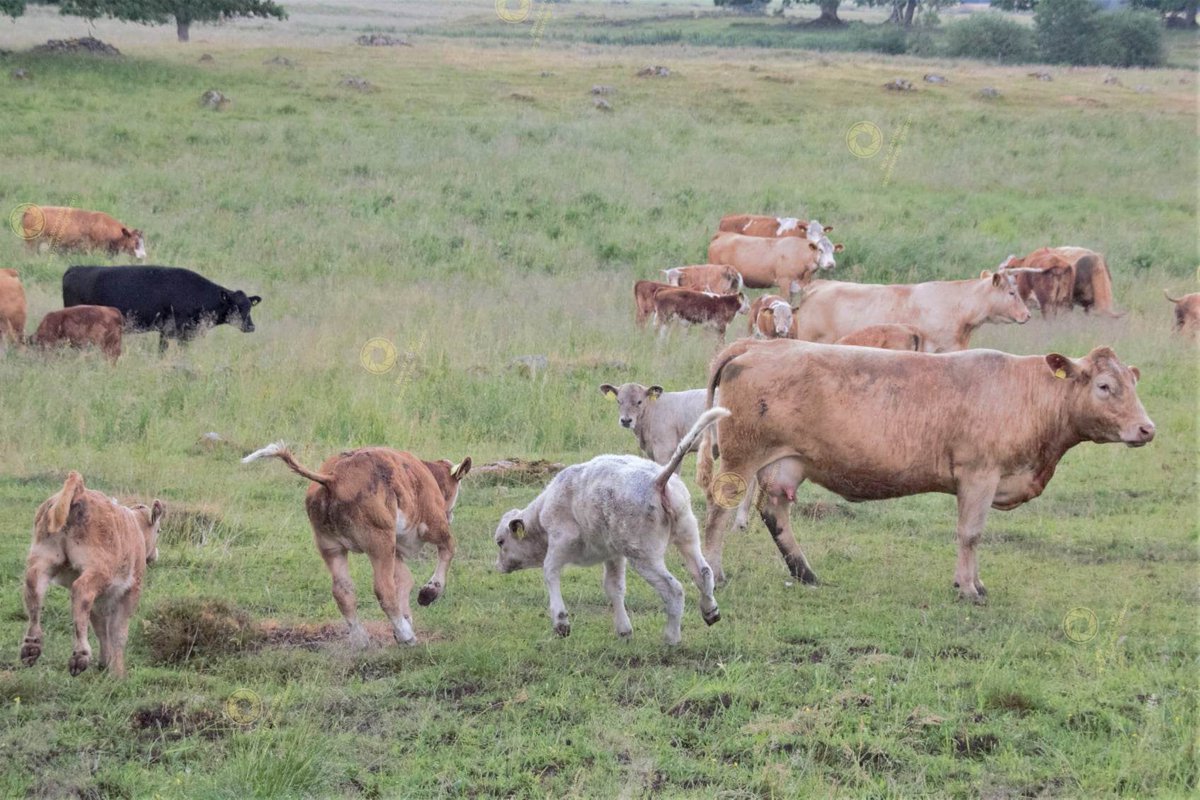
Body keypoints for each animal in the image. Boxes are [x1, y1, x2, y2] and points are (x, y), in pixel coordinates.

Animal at [21, 472, 165, 677]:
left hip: (43, 560)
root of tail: (79, 492)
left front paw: (106, 663)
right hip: (98, 570)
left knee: (34, 587)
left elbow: (101, 627)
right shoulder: (130, 590)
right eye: (159, 530)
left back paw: (31, 646)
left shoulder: (101, 598)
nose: (154, 555)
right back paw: (80, 655)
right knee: (81, 592)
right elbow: (118, 632)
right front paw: (118, 673)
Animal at [242, 443, 470, 647]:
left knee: (343, 591)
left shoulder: (394, 549)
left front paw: (406, 620)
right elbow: (448, 548)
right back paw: (406, 636)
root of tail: (333, 478)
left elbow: (405, 579)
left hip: (332, 547)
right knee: (383, 589)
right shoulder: (433, 527)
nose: (451, 515)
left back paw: (361, 639)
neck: (426, 476)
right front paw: (428, 593)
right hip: (379, 542)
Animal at [494, 408, 727, 644]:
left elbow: (549, 572)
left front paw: (561, 623)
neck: (542, 515)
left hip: (644, 555)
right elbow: (614, 587)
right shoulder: (613, 554)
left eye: (501, 542)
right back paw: (710, 611)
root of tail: (657, 480)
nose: (498, 566)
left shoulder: (561, 543)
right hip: (687, 533)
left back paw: (671, 637)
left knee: (674, 590)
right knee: (704, 573)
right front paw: (624, 630)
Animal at [696, 340, 1154, 596]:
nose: (1147, 429)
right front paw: (969, 587)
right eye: (1104, 386)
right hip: (740, 459)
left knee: (775, 511)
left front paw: (972, 582)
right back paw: (716, 572)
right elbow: (970, 534)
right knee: (718, 512)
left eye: (1133, 384)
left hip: (786, 463)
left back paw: (806, 573)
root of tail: (758, 345)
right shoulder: (979, 475)